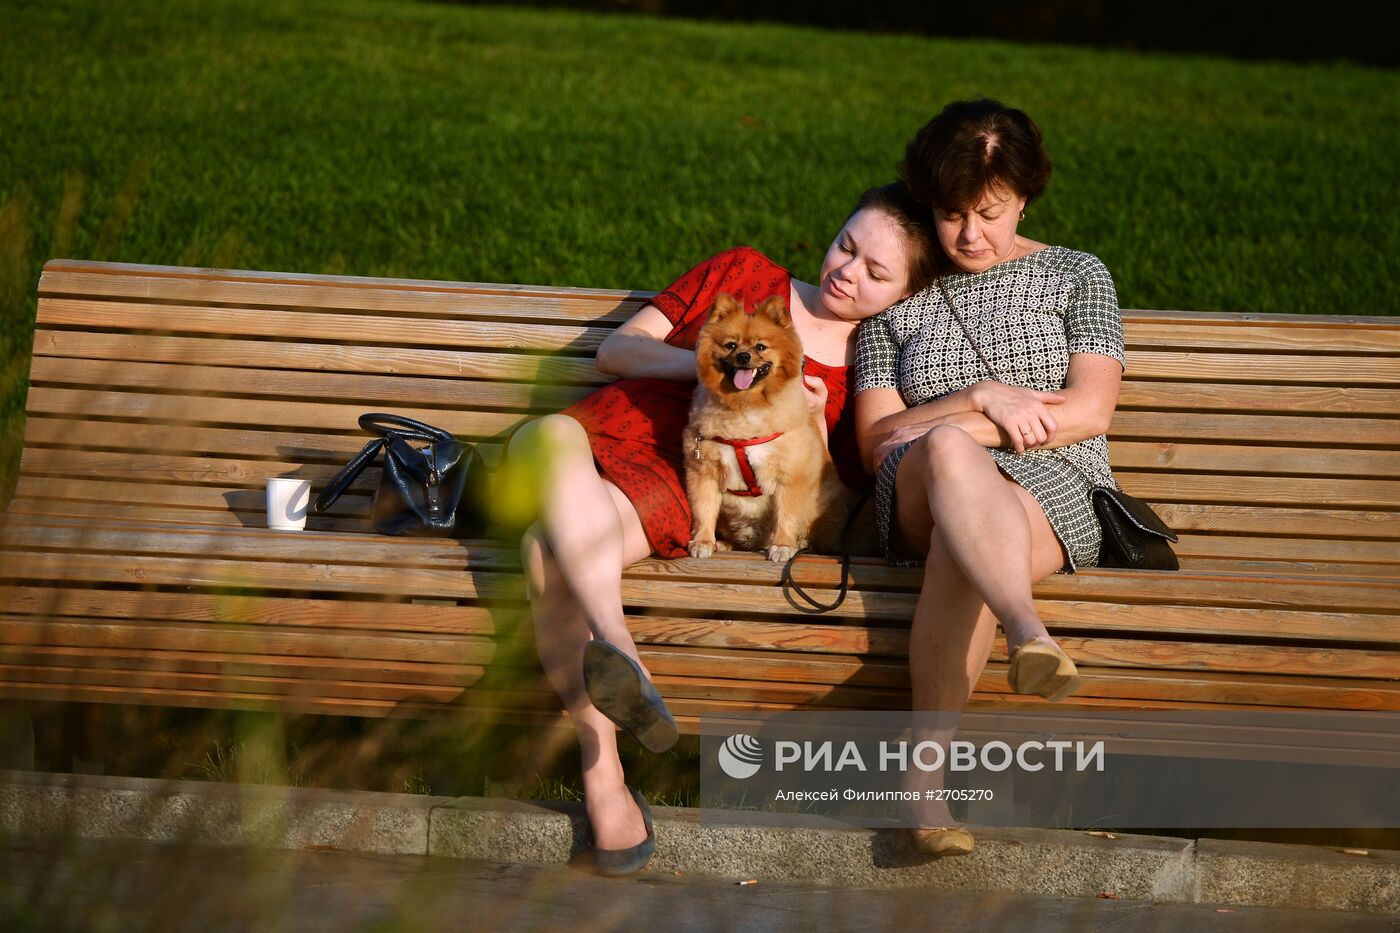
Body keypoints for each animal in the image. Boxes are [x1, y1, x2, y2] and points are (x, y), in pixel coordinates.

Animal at [686, 292, 845, 560]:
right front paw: (703, 541)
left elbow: (786, 516)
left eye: (760, 346)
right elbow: (704, 510)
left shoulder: (789, 475)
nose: (743, 356)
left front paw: (782, 546)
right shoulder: (703, 472)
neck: (745, 409)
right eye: (731, 345)